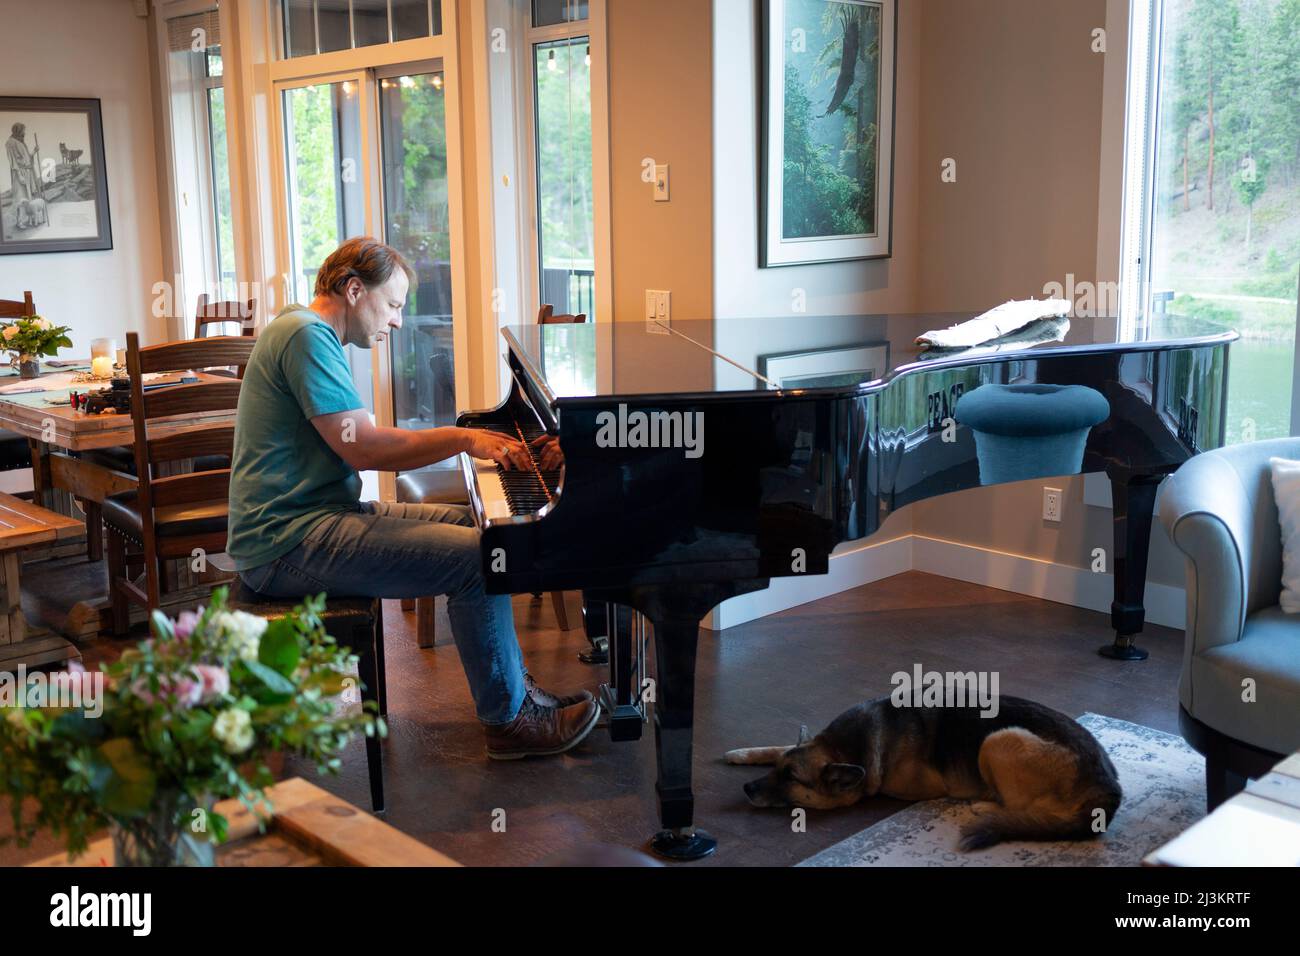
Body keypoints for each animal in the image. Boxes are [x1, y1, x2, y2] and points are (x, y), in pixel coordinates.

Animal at [728, 697, 1123, 853]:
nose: (746, 789)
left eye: (792, 779)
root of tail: (1110, 788)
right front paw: (742, 753)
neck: (844, 749)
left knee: (1024, 808)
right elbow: (776, 746)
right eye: (779, 771)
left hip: (998, 739)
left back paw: (985, 807)